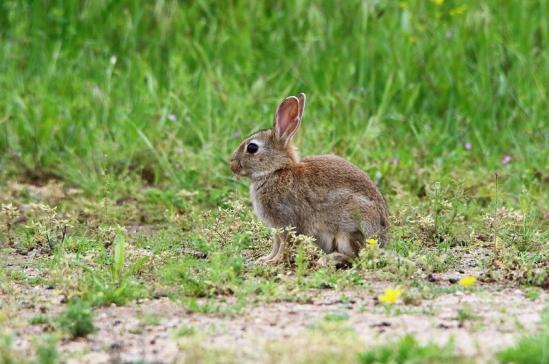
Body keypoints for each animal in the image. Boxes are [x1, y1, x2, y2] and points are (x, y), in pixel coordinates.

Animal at [229, 92, 388, 266]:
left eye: (252, 148)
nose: (232, 164)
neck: (276, 171)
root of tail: (382, 242)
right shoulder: (277, 228)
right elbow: (276, 244)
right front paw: (265, 259)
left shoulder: (287, 221)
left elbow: (284, 245)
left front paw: (275, 261)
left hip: (348, 228)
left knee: (356, 256)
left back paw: (328, 260)